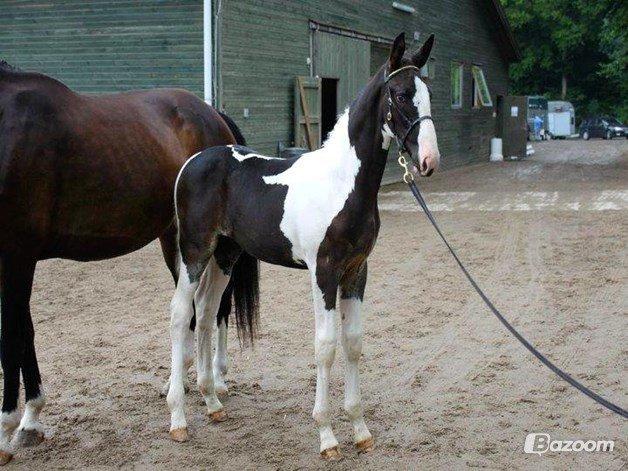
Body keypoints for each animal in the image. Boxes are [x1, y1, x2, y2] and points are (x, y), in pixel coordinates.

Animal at [0, 60, 258, 464]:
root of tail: (214, 115)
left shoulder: (17, 254)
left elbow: (12, 334)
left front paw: (9, 426)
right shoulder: (15, 258)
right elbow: (25, 330)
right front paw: (30, 421)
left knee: (217, 309)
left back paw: (215, 382)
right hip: (176, 241)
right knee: (197, 311)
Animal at [169, 34, 440, 460]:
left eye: (429, 94)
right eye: (398, 94)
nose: (430, 160)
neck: (342, 182)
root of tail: (191, 162)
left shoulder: (356, 271)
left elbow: (353, 342)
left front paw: (360, 430)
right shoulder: (323, 270)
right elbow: (326, 346)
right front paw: (327, 436)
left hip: (225, 255)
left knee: (208, 311)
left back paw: (212, 403)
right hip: (194, 252)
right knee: (181, 314)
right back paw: (178, 419)